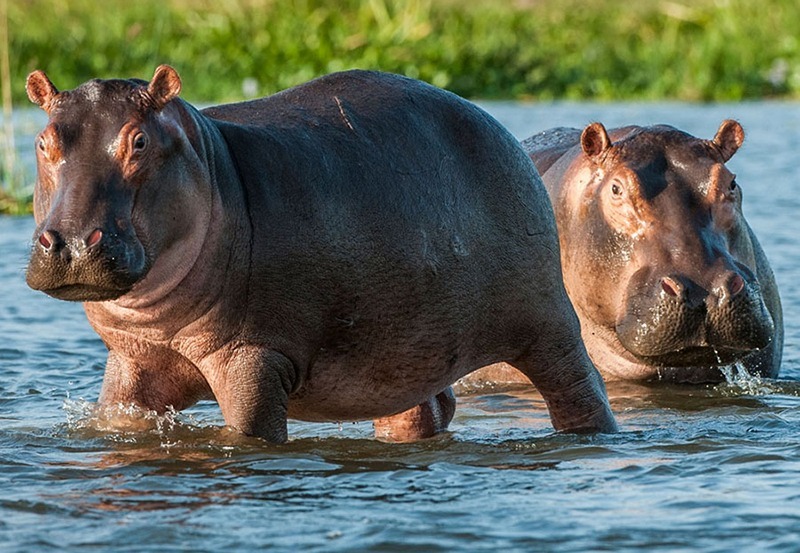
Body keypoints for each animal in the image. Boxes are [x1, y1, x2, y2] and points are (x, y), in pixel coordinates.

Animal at [24, 65, 617, 442]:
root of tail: (501, 129)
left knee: (579, 388)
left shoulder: (254, 357)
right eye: (43, 141)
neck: (211, 164)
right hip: (403, 351)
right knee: (422, 410)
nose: (71, 242)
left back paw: (589, 439)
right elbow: (119, 420)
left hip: (547, 324)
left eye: (139, 141)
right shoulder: (132, 361)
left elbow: (251, 434)